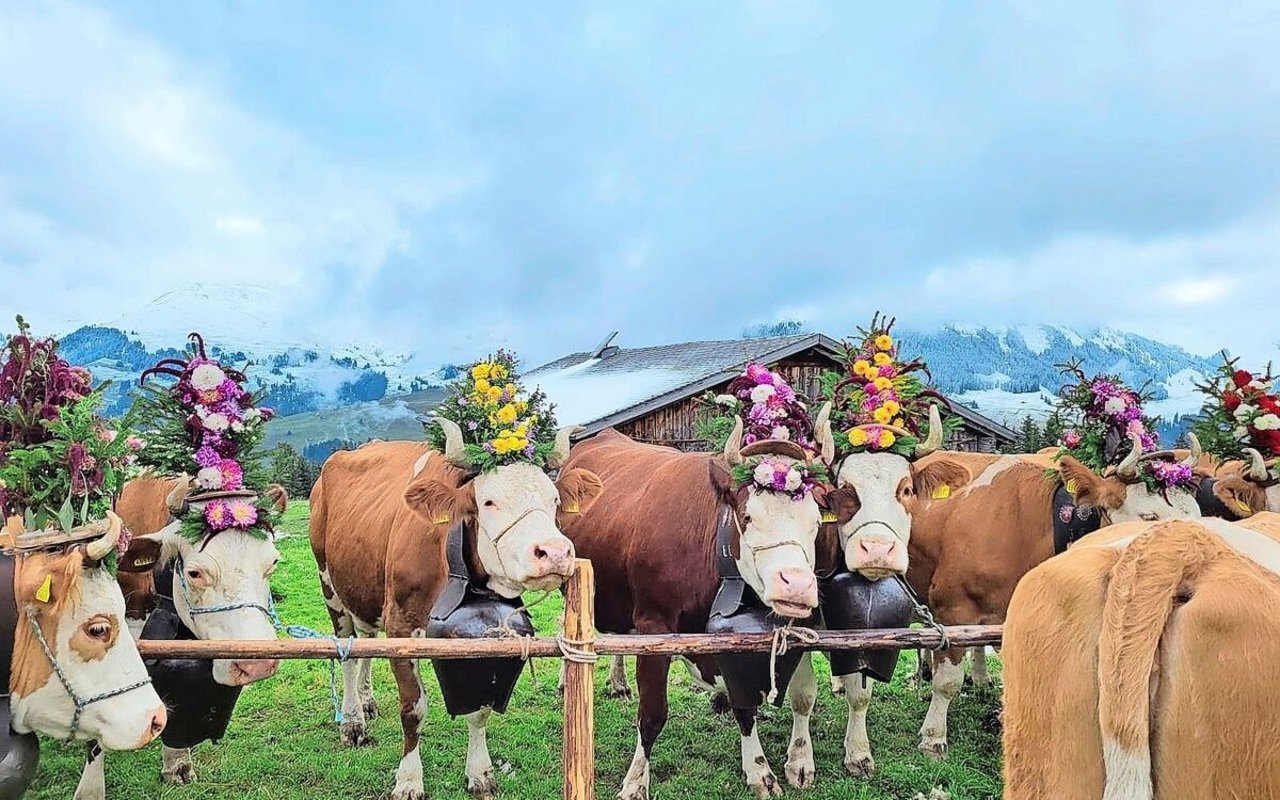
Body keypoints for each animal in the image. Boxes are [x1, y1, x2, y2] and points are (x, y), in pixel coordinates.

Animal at [313, 422, 604, 793]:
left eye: (553, 500)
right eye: (489, 501)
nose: (555, 552)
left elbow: (480, 709)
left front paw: (480, 773)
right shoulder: (401, 624)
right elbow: (413, 708)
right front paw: (409, 780)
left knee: (365, 640)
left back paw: (367, 702)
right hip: (330, 587)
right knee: (347, 650)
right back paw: (352, 721)